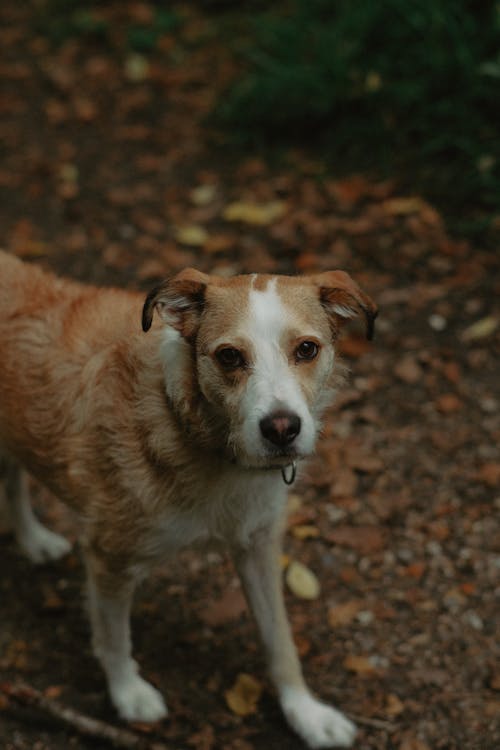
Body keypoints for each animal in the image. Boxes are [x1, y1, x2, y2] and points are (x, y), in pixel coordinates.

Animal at [0, 250, 376, 748]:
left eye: (307, 349)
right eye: (229, 356)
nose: (281, 429)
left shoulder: (258, 545)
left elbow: (280, 641)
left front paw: (305, 713)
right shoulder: (109, 556)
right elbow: (114, 638)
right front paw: (128, 694)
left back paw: (33, 540)